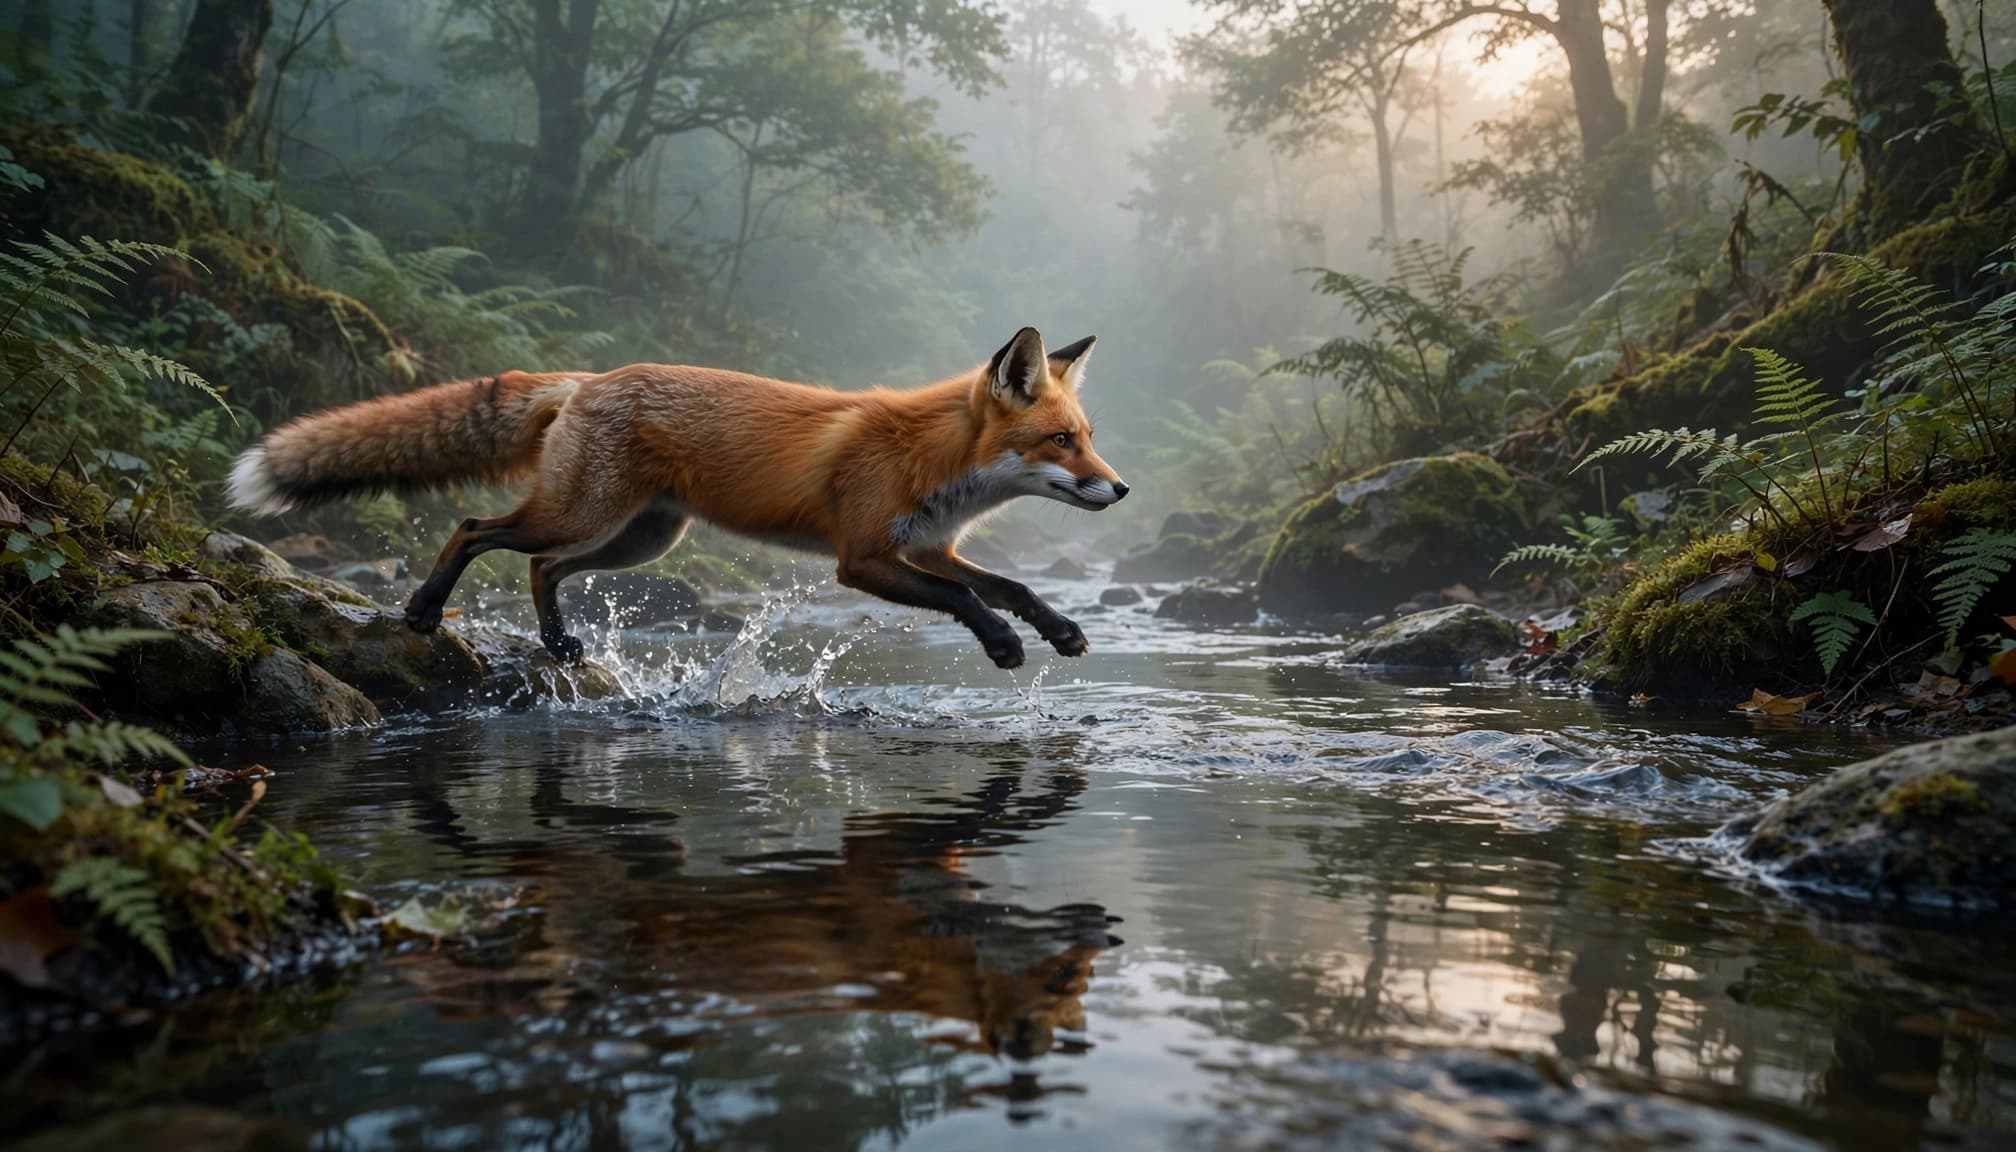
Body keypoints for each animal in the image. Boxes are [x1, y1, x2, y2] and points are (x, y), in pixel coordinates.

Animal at [226, 327, 1128, 669]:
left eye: (1086, 434)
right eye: (1061, 441)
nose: (1120, 488)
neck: (934, 462)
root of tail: (588, 378)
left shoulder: (928, 545)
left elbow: (1010, 584)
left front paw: (1061, 630)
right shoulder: (863, 559)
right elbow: (965, 600)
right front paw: (1003, 646)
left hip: (641, 540)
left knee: (544, 569)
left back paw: (559, 645)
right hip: (581, 515)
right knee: (474, 528)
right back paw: (421, 609)